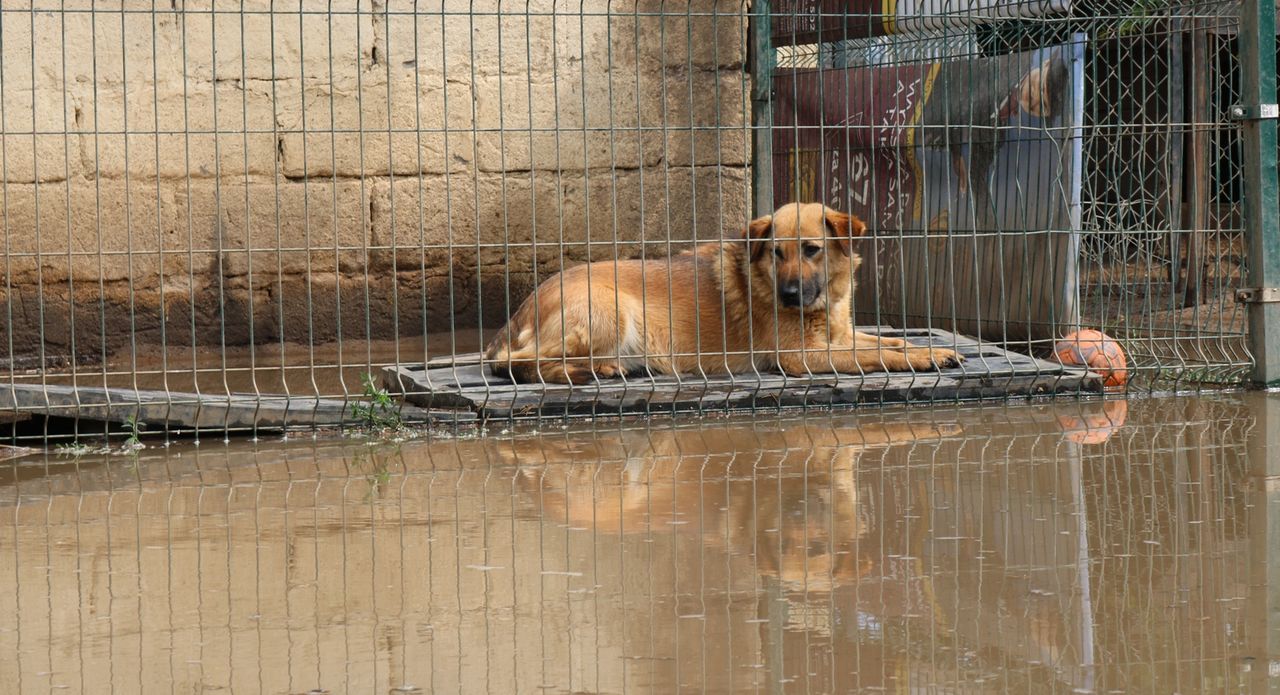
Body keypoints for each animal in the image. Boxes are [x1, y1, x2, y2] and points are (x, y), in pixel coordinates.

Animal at [483, 200, 962, 386]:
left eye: (811, 249)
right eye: (776, 252)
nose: (790, 294)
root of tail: (520, 311)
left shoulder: (839, 336)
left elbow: (886, 342)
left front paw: (925, 348)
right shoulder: (802, 356)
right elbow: (877, 354)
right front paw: (925, 357)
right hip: (610, 308)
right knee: (514, 362)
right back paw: (587, 370)